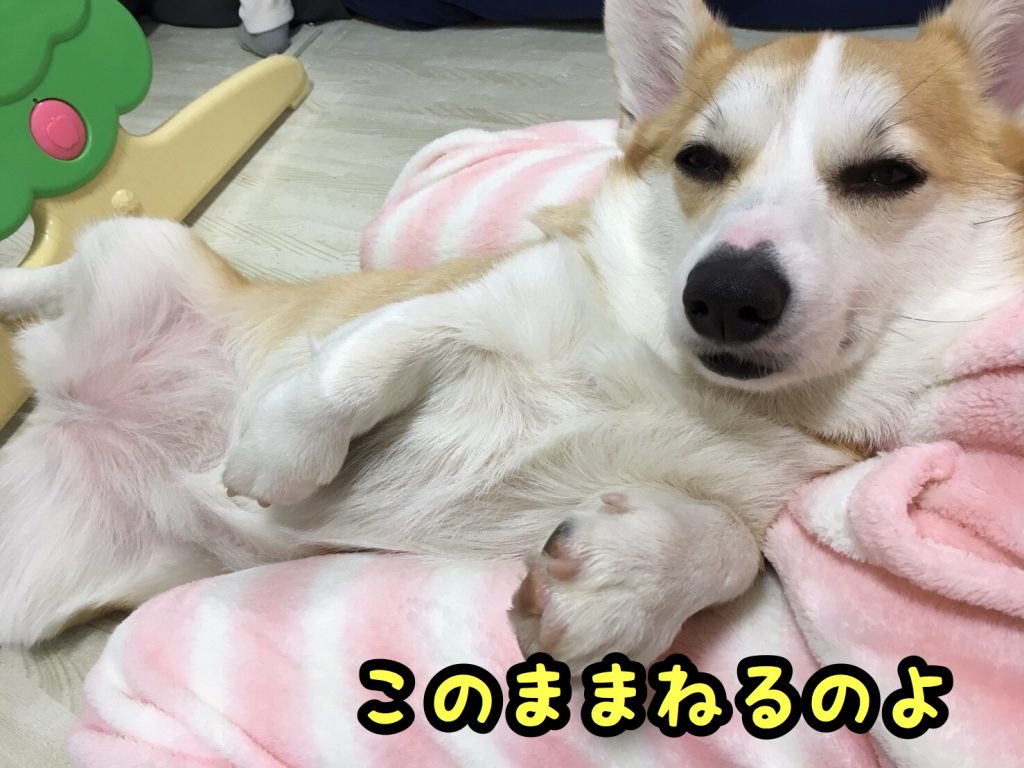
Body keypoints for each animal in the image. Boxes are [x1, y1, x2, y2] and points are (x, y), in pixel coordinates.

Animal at [0, 0, 1022, 673]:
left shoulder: (769, 508)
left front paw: (621, 586)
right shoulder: (479, 303)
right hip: (151, 248)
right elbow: (363, 358)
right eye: (700, 161)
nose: (725, 295)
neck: (671, 376)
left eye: (886, 176)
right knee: (48, 275)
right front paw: (280, 450)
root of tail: (61, 395)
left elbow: (732, 550)